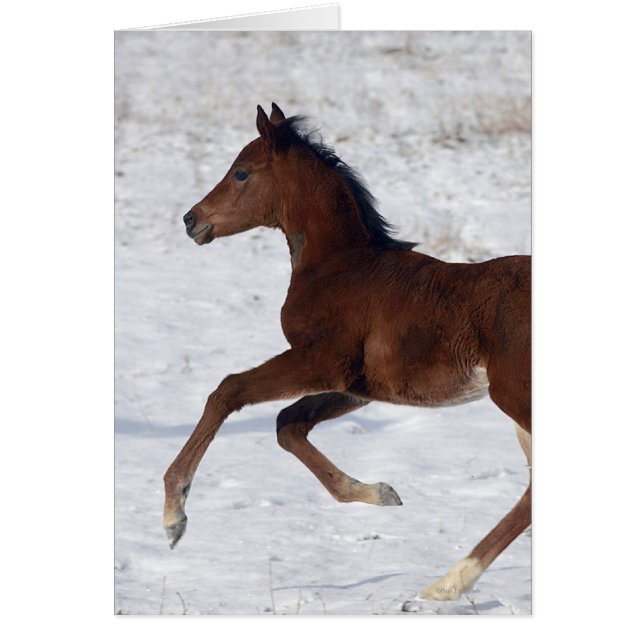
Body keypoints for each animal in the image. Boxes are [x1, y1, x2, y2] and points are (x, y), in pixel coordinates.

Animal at [163, 103, 531, 601]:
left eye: (241, 172)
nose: (190, 219)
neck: (339, 265)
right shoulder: (357, 386)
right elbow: (287, 424)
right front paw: (380, 492)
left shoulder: (320, 361)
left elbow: (227, 391)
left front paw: (174, 516)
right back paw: (446, 584)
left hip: (514, 398)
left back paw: (443, 587)